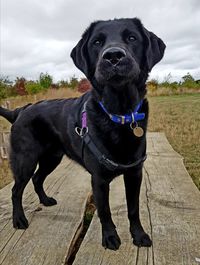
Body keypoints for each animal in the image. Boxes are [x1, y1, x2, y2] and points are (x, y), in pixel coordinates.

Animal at [0, 17, 166, 249]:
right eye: (97, 42)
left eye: (132, 38)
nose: (113, 56)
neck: (119, 114)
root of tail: (19, 110)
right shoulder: (99, 179)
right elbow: (105, 211)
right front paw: (110, 237)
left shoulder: (135, 173)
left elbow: (133, 209)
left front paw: (139, 235)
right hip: (26, 160)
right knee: (16, 190)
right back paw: (19, 220)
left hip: (52, 158)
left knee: (37, 179)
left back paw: (45, 200)